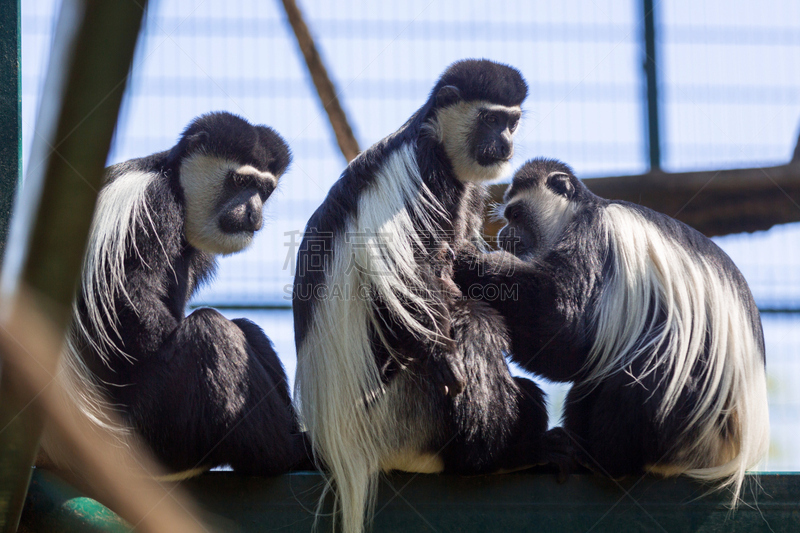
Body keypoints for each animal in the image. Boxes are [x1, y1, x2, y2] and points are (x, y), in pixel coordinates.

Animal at [41, 111, 310, 474]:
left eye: (264, 190)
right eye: (240, 182)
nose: (254, 214)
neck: (173, 181)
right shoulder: (149, 207)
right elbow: (130, 298)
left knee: (243, 328)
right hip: (147, 427)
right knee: (209, 330)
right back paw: (290, 451)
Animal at [292, 59, 564, 532]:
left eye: (511, 122)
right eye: (489, 119)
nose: (505, 143)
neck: (434, 136)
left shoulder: (469, 191)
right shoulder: (420, 171)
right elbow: (413, 274)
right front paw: (446, 354)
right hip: (402, 413)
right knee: (472, 327)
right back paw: (491, 455)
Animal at [454, 157, 772, 502]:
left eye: (516, 215)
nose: (503, 235)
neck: (583, 210)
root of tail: (734, 450)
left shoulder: (593, 234)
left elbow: (565, 335)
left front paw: (467, 259)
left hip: (694, 422)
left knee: (649, 363)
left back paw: (601, 460)